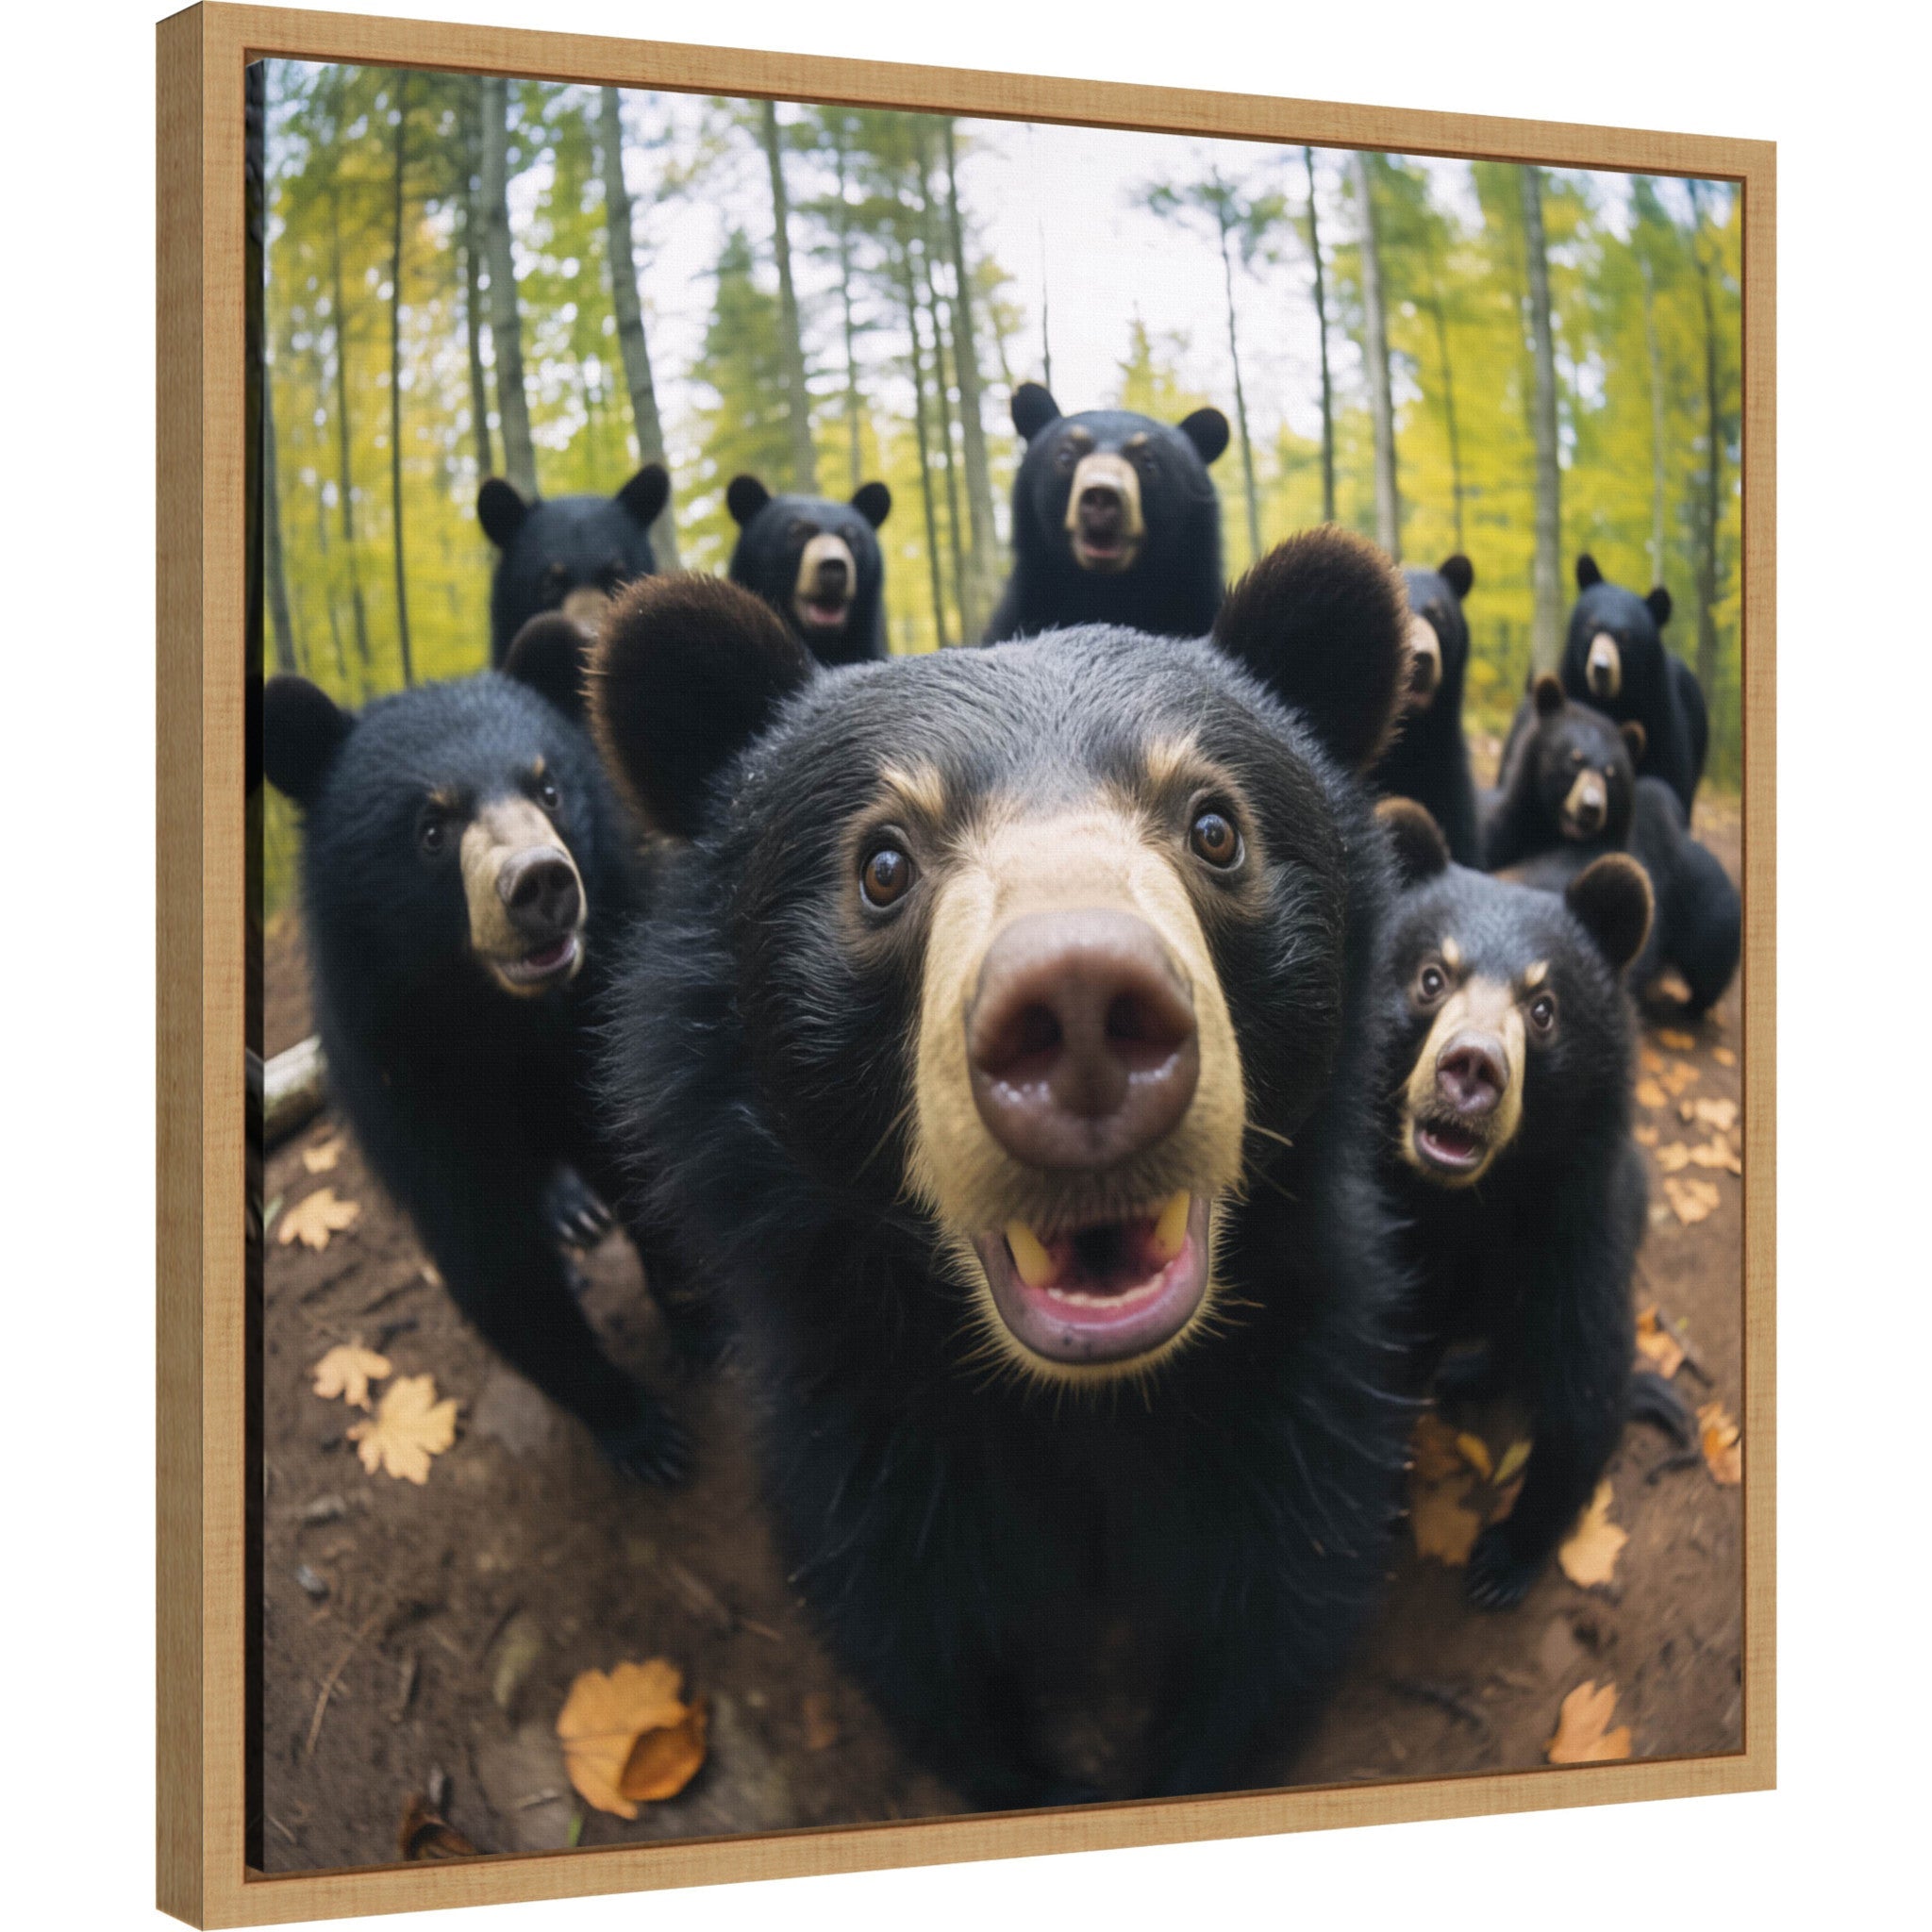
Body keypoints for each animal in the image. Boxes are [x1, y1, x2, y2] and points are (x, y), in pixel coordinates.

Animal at [261, 614, 704, 1482]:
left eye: (548, 788)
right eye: (432, 828)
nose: (541, 885)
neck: (507, 1022)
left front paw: (701, 1330)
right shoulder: (401, 1073)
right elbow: (487, 1253)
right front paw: (639, 1431)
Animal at [584, 529, 1420, 1810]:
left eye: (1212, 827)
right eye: (882, 862)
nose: (1078, 1005)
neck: (1081, 1406)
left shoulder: (1297, 1396)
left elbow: (1272, 1620)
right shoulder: (864, 1430)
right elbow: (923, 1650)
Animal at [1375, 797, 1656, 1610]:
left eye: (1543, 1008)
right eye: (1432, 977)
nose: (1471, 1068)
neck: (1472, 1201)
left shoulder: (1577, 1224)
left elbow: (1587, 1386)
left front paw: (1504, 1559)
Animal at [1499, 555, 1707, 814]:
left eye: (1625, 637)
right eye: (1592, 626)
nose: (1601, 668)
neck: (1609, 702)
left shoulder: (1660, 722)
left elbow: (1669, 777)